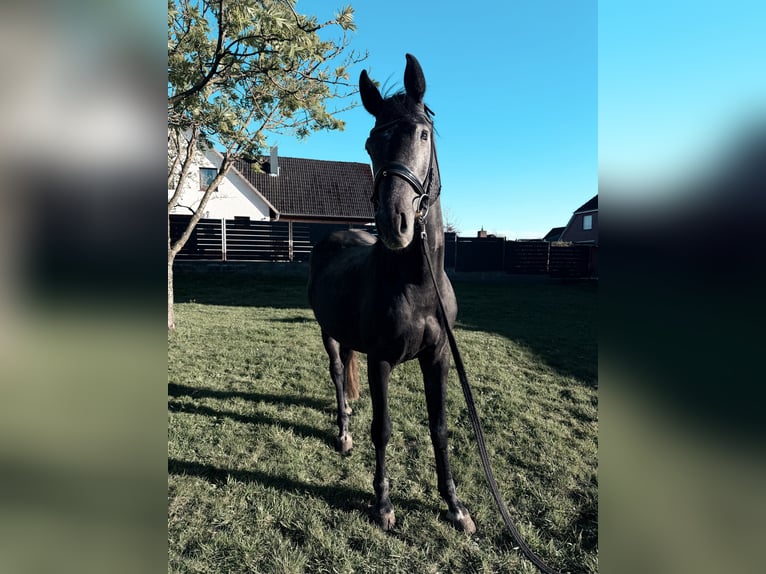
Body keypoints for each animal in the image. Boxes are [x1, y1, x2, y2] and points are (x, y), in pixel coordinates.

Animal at [308, 54, 475, 533]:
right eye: (369, 143)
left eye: (423, 133)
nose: (393, 223)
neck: (417, 285)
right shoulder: (380, 358)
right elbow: (382, 430)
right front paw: (382, 504)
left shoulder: (437, 357)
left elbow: (439, 427)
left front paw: (454, 505)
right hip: (327, 332)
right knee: (336, 376)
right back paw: (343, 433)